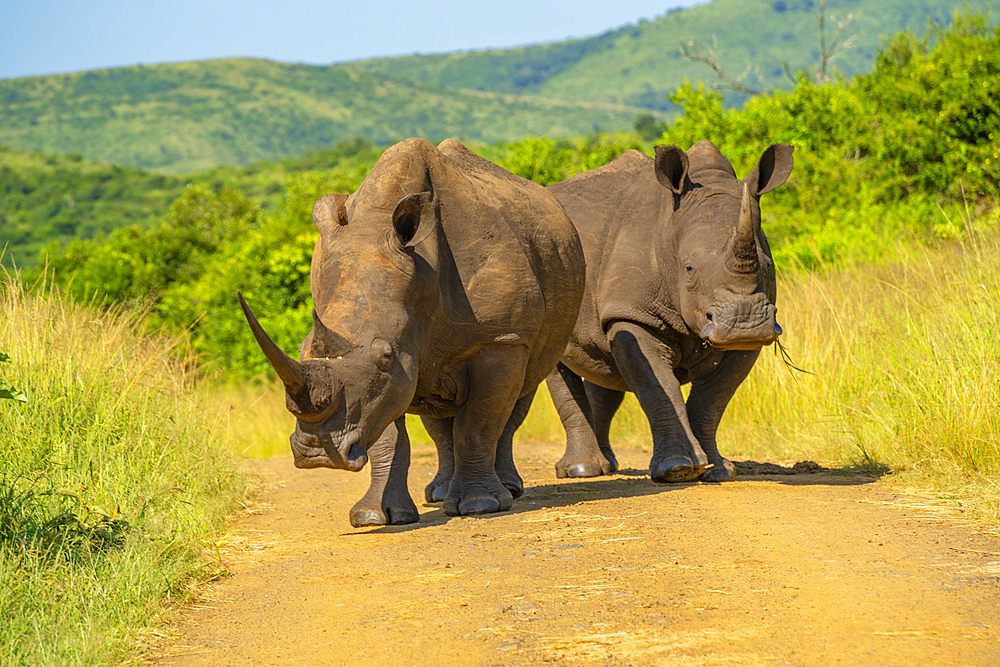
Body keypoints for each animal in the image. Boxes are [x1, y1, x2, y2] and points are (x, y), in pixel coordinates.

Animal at [239, 138, 588, 528]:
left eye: (385, 356)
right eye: (302, 350)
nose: (317, 453)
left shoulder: (501, 338)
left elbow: (478, 423)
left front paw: (479, 506)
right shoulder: (387, 376)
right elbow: (388, 435)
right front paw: (375, 516)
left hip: (529, 314)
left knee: (518, 392)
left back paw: (506, 491)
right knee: (437, 408)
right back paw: (439, 493)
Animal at [544, 141, 792, 482]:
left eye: (768, 267)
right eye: (688, 269)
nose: (745, 324)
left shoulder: (748, 341)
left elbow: (712, 400)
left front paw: (718, 471)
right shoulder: (634, 314)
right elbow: (657, 388)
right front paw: (677, 470)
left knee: (604, 370)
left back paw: (607, 465)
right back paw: (582, 471)